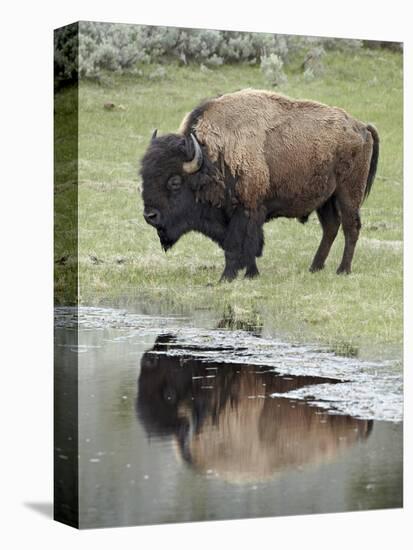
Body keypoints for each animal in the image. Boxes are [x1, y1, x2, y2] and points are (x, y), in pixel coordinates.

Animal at [140, 90, 378, 282]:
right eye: (144, 176)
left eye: (175, 181)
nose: (150, 216)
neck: (211, 158)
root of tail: (361, 126)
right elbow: (249, 247)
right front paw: (250, 274)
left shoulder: (246, 210)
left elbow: (237, 245)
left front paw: (226, 278)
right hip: (325, 199)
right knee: (330, 227)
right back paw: (314, 268)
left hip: (348, 193)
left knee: (350, 227)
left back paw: (343, 270)